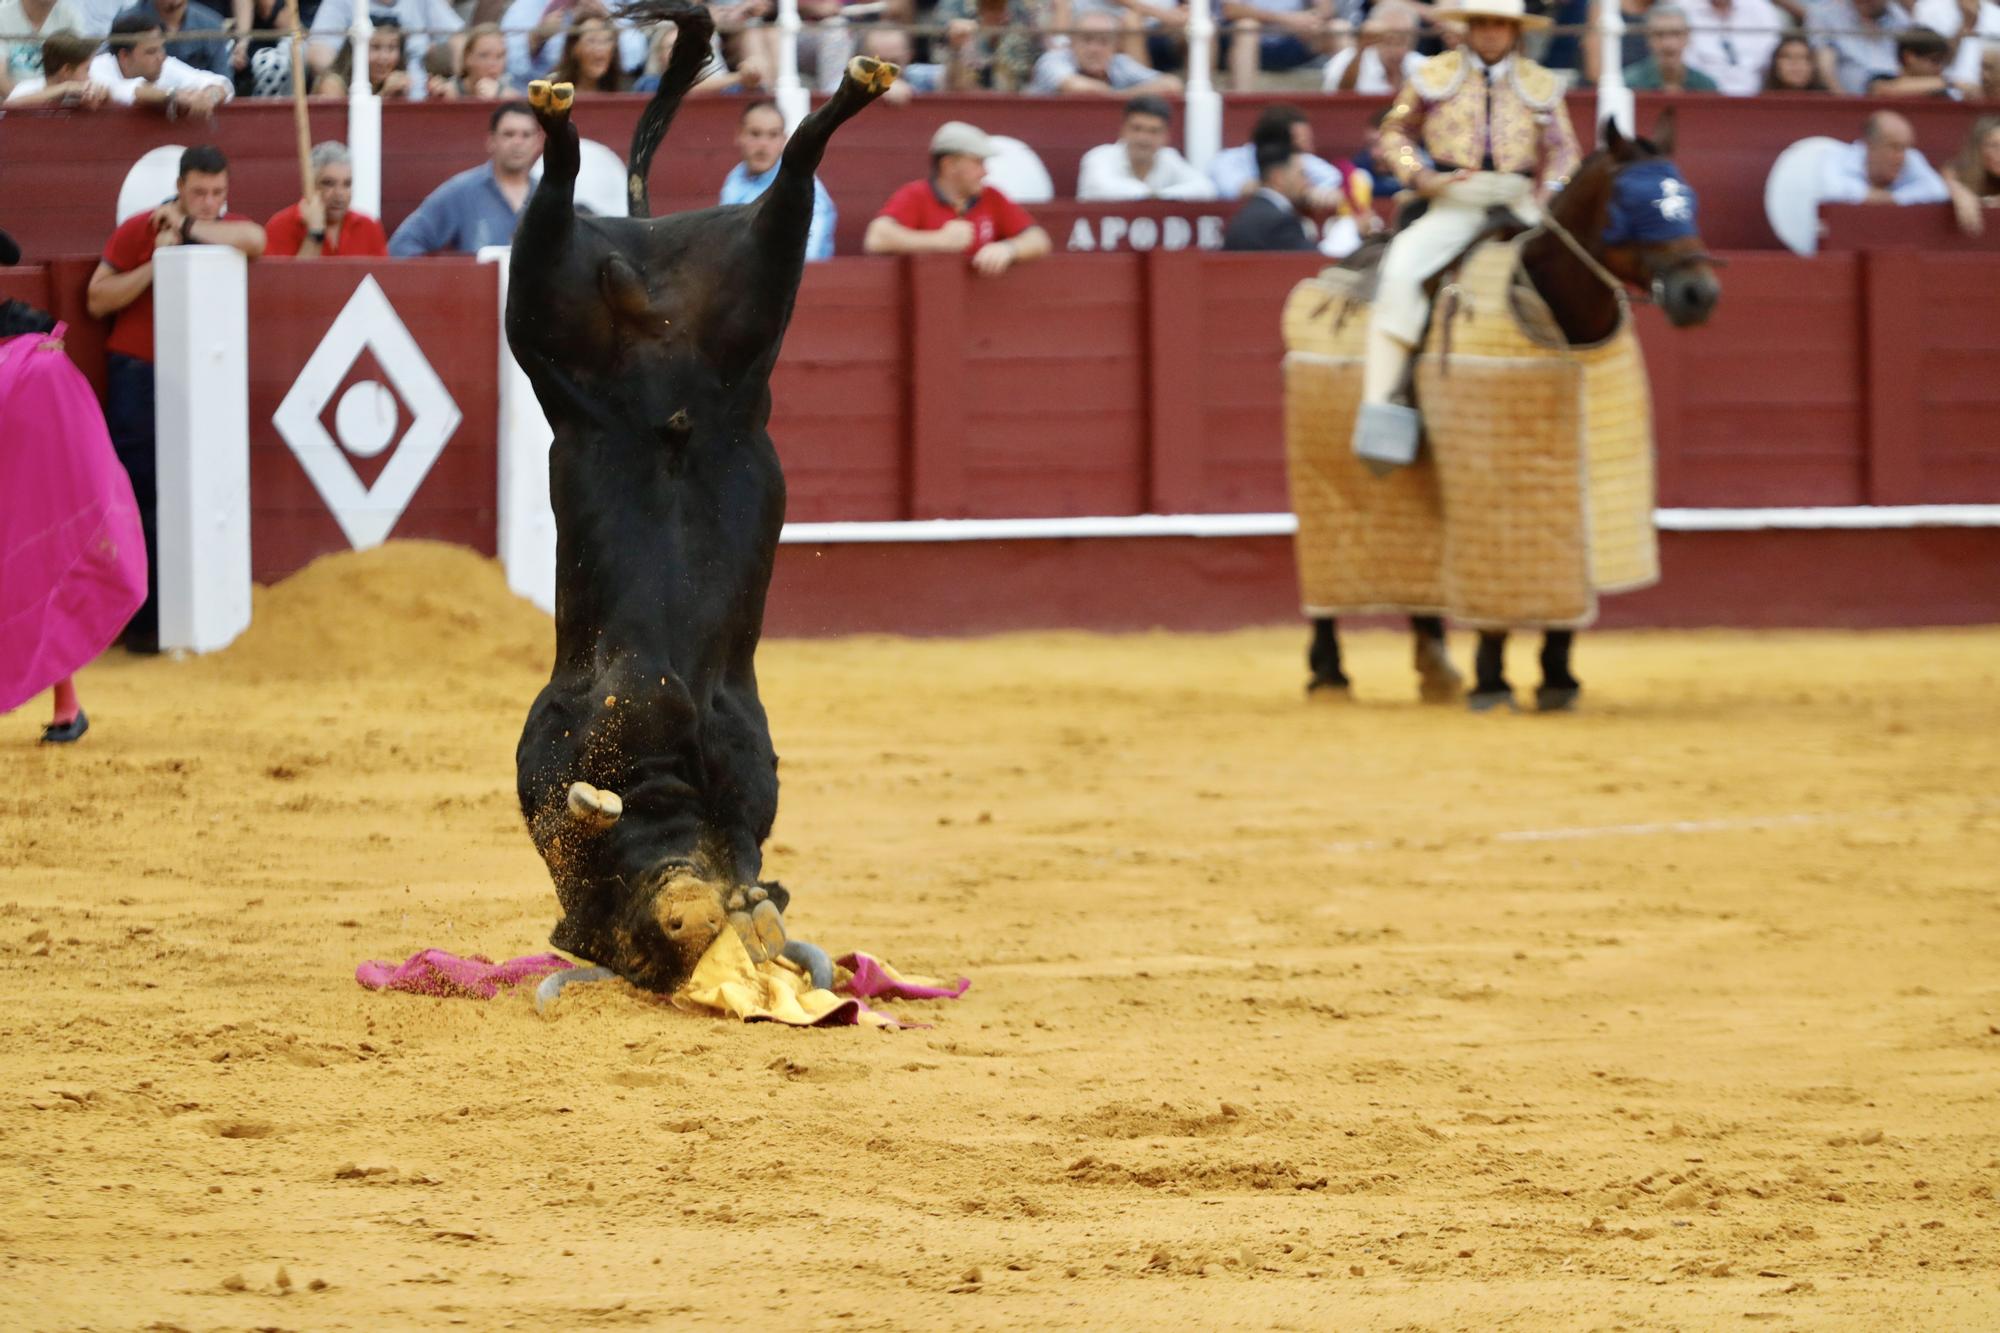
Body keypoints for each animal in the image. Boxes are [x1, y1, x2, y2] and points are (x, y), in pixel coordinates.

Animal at [508, 2, 900, 984]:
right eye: (642, 947)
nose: (689, 916)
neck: (669, 777)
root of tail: (644, 238)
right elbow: (577, 802)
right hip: (614, 307)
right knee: (782, 174)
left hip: (733, 299)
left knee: (786, 171)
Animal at [1312, 115, 1720, 712]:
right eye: (1633, 201)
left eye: (1685, 198)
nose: (1699, 294)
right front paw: (1493, 680)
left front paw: (1557, 676)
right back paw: (1329, 671)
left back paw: (1435, 668)